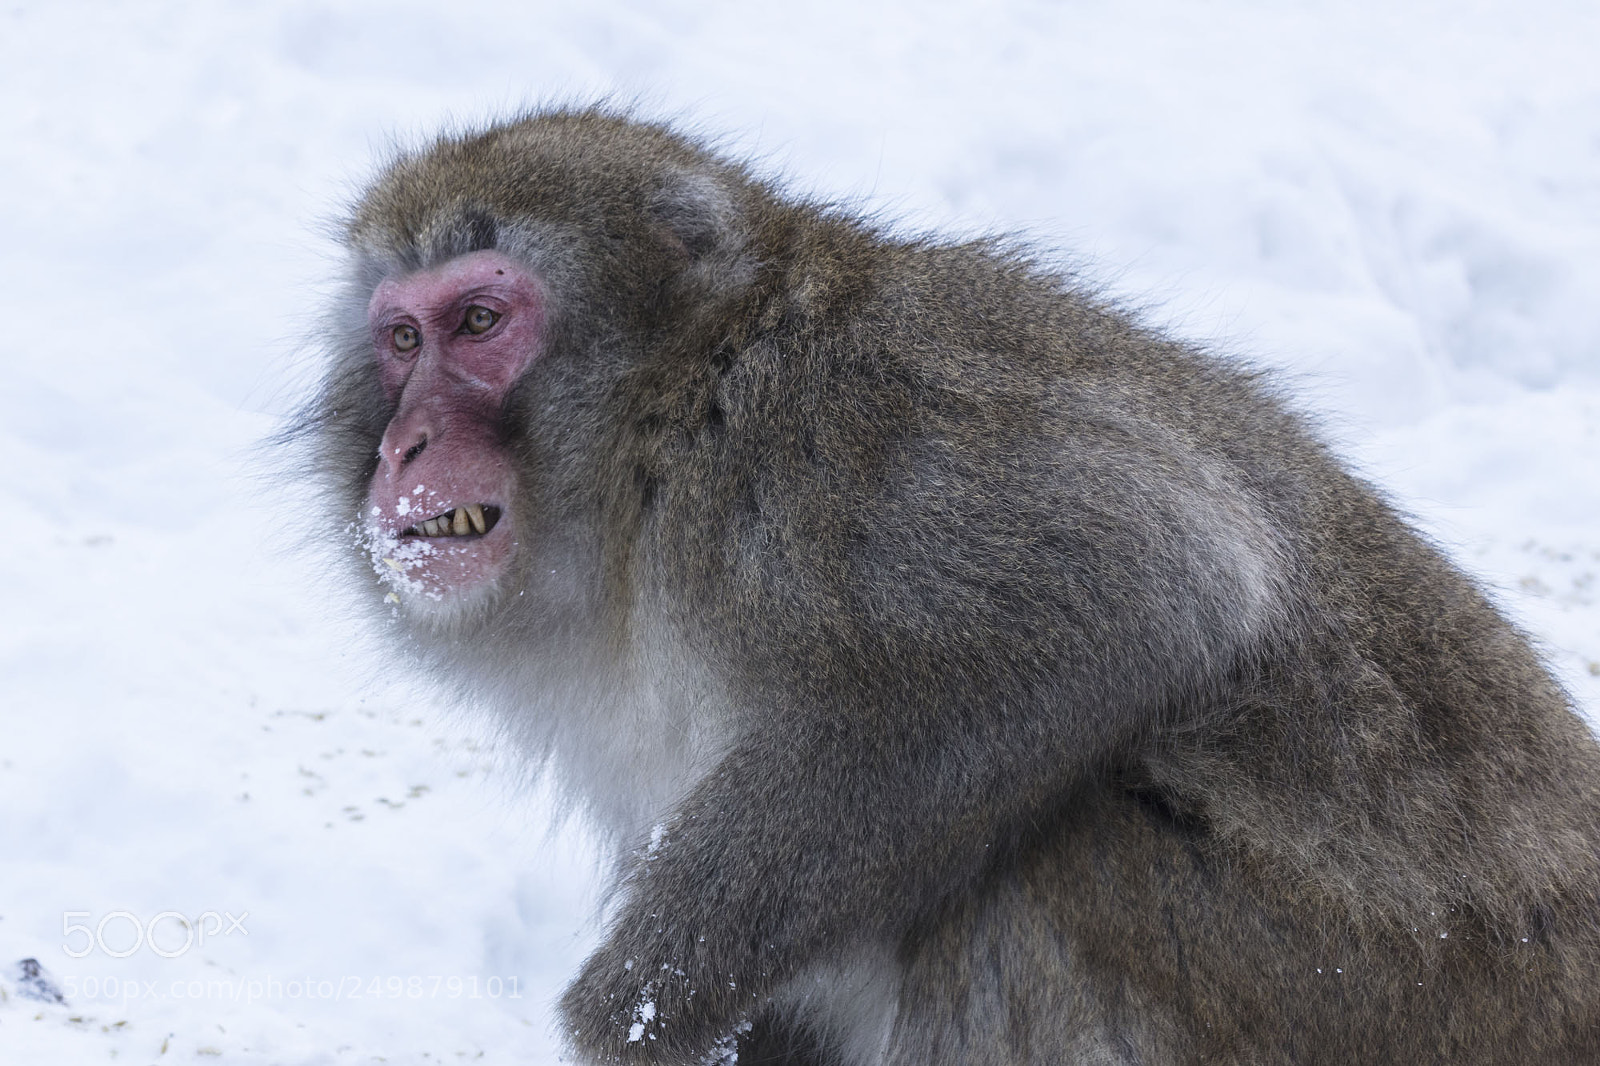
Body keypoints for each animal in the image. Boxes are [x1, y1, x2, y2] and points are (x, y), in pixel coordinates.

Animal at [294, 107, 1600, 1064]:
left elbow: (1149, 583)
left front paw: (631, 1007)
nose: (404, 446)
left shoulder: (819, 442)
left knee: (1056, 867)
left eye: (478, 318)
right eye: (401, 340)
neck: (652, 443)